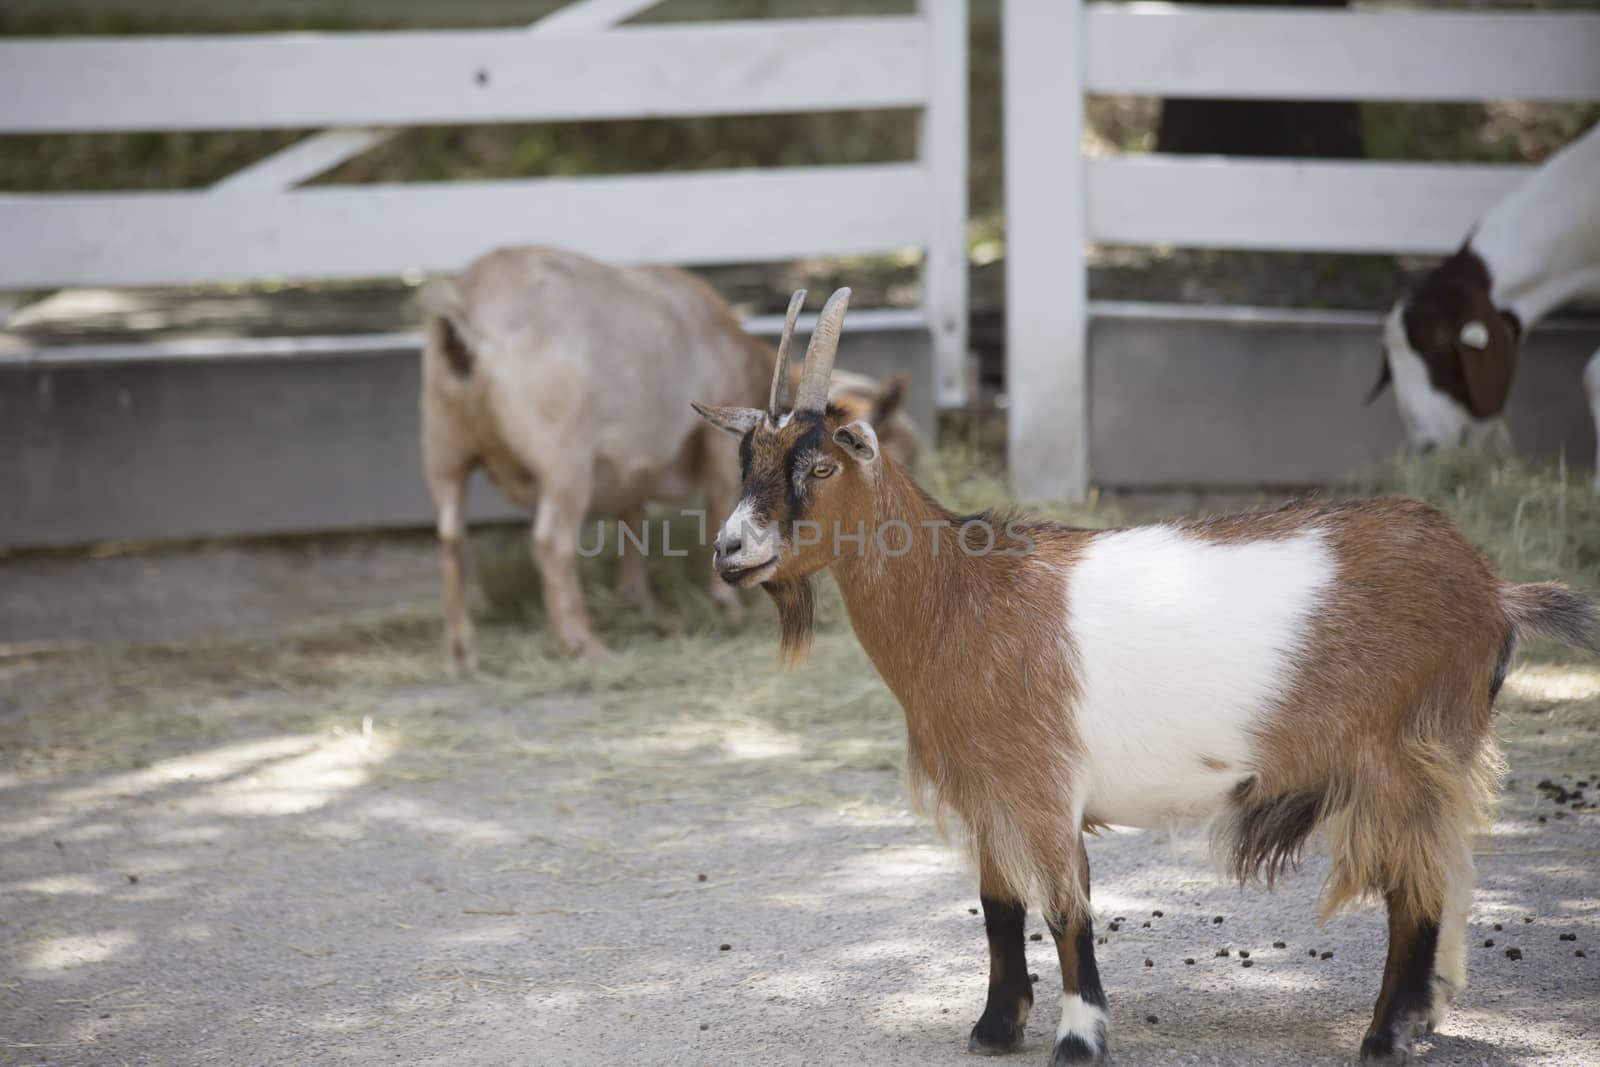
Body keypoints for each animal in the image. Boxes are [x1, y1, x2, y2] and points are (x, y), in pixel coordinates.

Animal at [700, 287, 1600, 1062]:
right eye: (746, 458)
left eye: (821, 467)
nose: (731, 550)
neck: (963, 596)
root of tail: (1491, 587)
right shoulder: (990, 790)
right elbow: (999, 904)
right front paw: (994, 1026)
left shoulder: (1042, 785)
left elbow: (1067, 909)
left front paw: (1078, 1037)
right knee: (1445, 876)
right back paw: (1425, 1015)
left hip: (1404, 752)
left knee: (1414, 890)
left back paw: (1384, 1037)